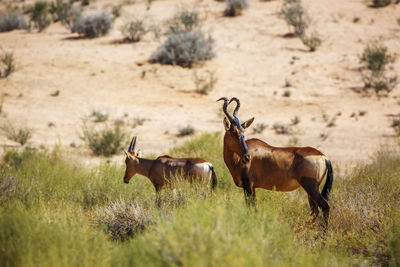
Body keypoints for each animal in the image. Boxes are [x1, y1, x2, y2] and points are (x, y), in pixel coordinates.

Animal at [217, 97, 332, 225]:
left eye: (243, 131)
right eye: (234, 131)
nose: (247, 157)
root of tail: (324, 157)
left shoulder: (248, 186)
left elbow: (252, 208)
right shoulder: (253, 187)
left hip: (310, 186)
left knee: (325, 206)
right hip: (311, 190)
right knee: (314, 211)